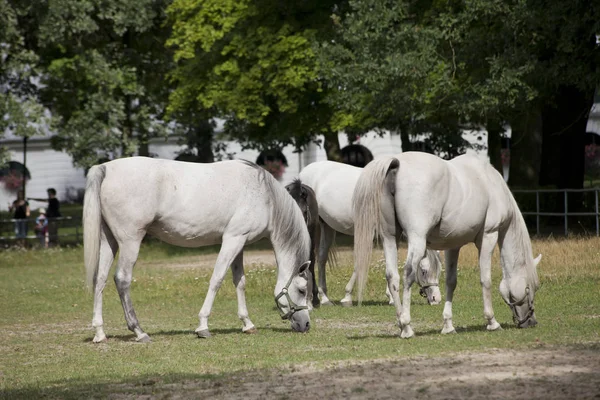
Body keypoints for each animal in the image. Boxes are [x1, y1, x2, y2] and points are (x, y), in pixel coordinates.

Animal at [84, 156, 312, 344]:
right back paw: (139, 331)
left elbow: (240, 282)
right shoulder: (232, 240)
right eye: (302, 290)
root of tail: (105, 168)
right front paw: (203, 326)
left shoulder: (239, 243)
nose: (306, 324)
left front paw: (247, 324)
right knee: (122, 279)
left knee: (100, 279)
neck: (264, 196)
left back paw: (100, 333)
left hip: (109, 241)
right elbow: (217, 279)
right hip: (130, 241)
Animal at [298, 159, 442, 306]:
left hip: (327, 226)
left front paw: (391, 297)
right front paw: (347, 296)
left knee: (322, 258)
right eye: (424, 271)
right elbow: (359, 264)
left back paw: (324, 298)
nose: (436, 299)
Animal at [354, 152, 540, 338]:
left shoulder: (453, 245)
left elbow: (451, 282)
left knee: (392, 276)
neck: (492, 184)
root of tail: (397, 163)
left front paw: (448, 325)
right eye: (532, 287)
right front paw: (492, 322)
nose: (531, 321)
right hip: (416, 239)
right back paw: (407, 327)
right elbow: (485, 280)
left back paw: (400, 322)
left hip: (390, 238)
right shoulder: (489, 236)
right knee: (408, 273)